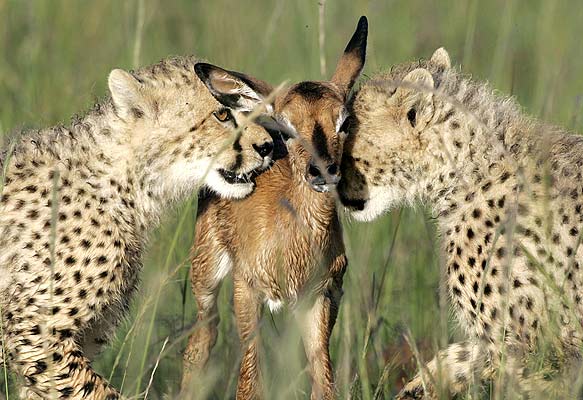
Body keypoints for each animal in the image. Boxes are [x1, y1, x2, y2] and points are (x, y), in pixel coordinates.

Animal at [340, 48, 583, 398]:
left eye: (345, 143)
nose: (323, 180)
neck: (470, 171)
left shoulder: (541, 353)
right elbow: (455, 357)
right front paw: (416, 386)